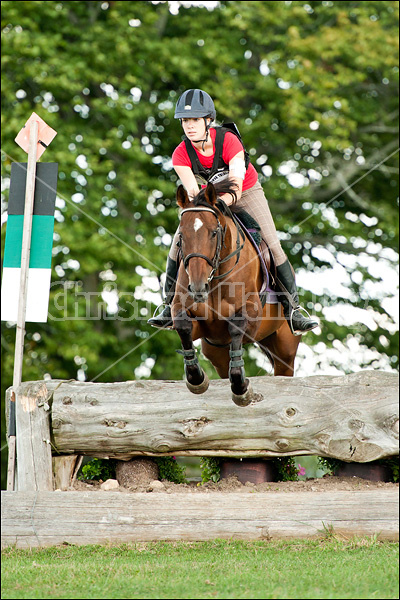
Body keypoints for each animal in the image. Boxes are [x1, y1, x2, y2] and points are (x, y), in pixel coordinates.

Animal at [171, 182, 300, 408]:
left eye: (214, 233)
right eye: (181, 236)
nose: (198, 286)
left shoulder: (251, 314)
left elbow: (236, 329)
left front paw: (241, 388)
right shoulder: (191, 317)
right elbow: (183, 326)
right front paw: (197, 379)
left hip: (286, 349)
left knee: (283, 372)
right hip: (216, 352)